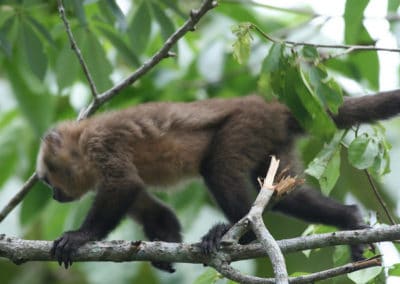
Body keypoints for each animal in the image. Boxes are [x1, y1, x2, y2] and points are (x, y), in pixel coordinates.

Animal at [36, 91, 400, 272]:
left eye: (48, 179)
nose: (53, 196)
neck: (83, 140)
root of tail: (273, 106)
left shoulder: (103, 145)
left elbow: (123, 185)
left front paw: (80, 236)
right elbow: (144, 199)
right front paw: (166, 244)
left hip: (247, 125)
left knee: (218, 169)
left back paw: (238, 233)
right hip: (273, 140)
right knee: (285, 196)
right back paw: (349, 219)